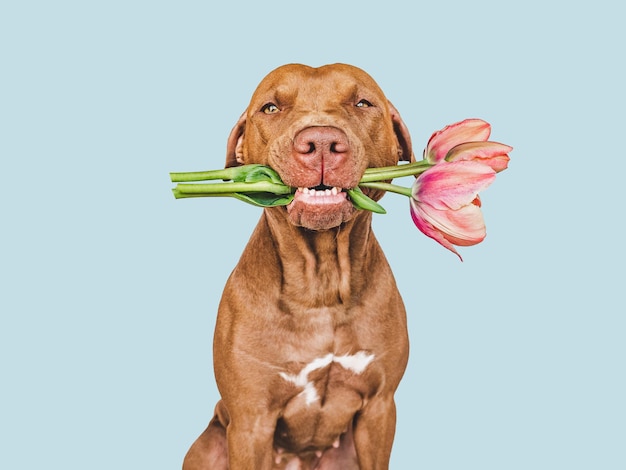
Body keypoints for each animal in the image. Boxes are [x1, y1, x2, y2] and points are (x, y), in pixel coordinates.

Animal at [183, 63, 412, 470]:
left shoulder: (379, 409)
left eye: (362, 102)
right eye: (271, 108)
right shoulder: (251, 420)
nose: (320, 142)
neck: (320, 285)